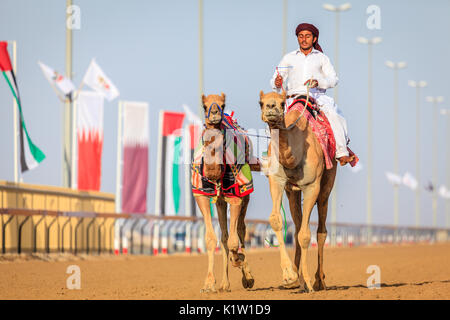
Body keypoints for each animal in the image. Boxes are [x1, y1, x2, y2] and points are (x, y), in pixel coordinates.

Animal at [192, 92, 256, 292]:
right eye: (204, 105)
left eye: (223, 103)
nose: (214, 113)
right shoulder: (201, 194)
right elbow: (211, 239)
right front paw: (208, 284)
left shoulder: (236, 196)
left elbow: (235, 240)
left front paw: (241, 263)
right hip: (219, 201)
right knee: (224, 236)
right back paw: (225, 284)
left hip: (245, 195)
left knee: (241, 230)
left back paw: (247, 276)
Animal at [258, 90, 336, 292]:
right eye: (261, 102)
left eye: (282, 102)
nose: (271, 107)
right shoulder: (277, 180)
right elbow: (277, 220)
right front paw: (290, 277)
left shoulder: (311, 186)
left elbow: (306, 235)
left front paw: (308, 282)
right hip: (292, 192)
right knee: (298, 225)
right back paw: (298, 279)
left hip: (326, 185)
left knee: (321, 230)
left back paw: (318, 281)